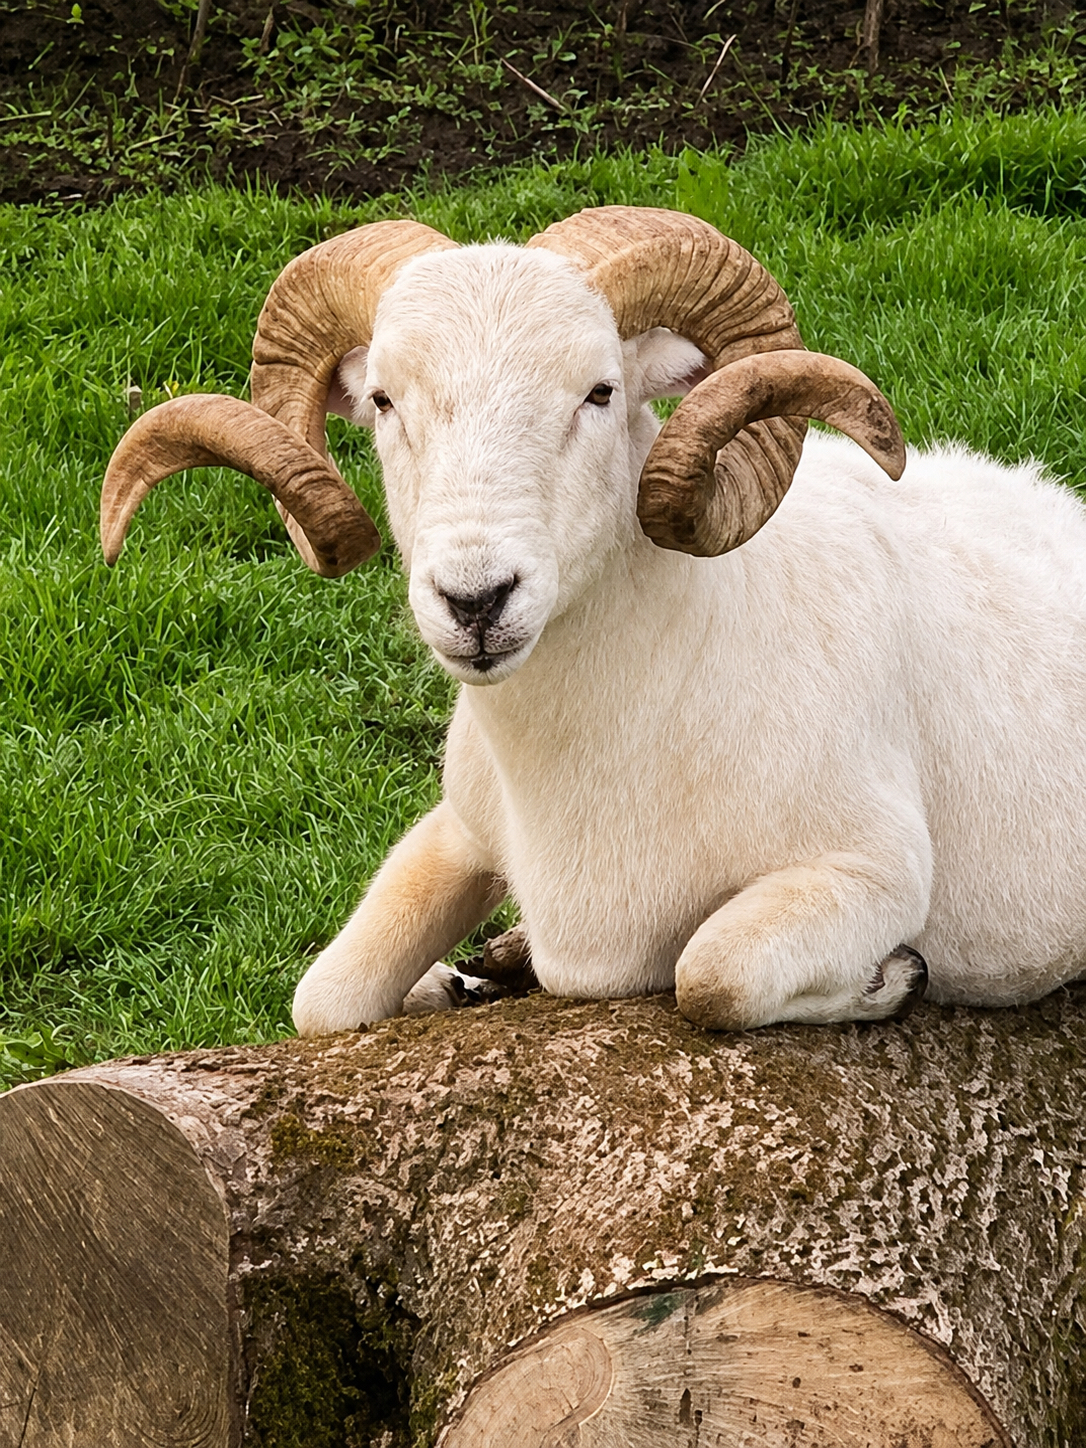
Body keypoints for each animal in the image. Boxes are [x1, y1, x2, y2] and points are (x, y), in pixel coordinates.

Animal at [101, 207, 1086, 1038]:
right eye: (382, 400)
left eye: (601, 391)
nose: (476, 599)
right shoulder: (460, 830)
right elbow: (324, 997)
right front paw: (444, 981)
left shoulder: (870, 871)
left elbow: (711, 975)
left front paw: (892, 980)